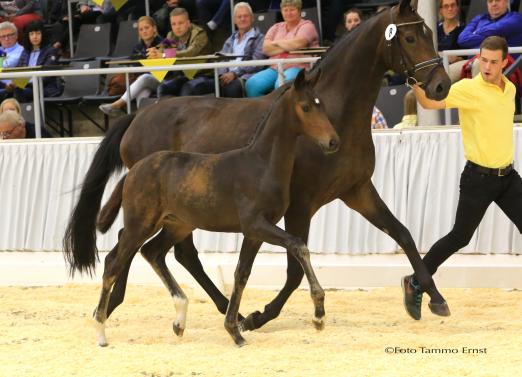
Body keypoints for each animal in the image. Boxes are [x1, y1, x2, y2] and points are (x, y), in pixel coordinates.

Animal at [92, 69, 340, 346]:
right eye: (305, 107)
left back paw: (179, 319)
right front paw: (318, 315)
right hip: (141, 224)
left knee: (152, 252)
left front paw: (235, 329)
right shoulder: (256, 225)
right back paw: (101, 331)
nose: (333, 142)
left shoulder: (254, 233)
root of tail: (133, 171)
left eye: (321, 105)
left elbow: (241, 274)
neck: (262, 164)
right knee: (114, 262)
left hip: (177, 225)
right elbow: (298, 245)